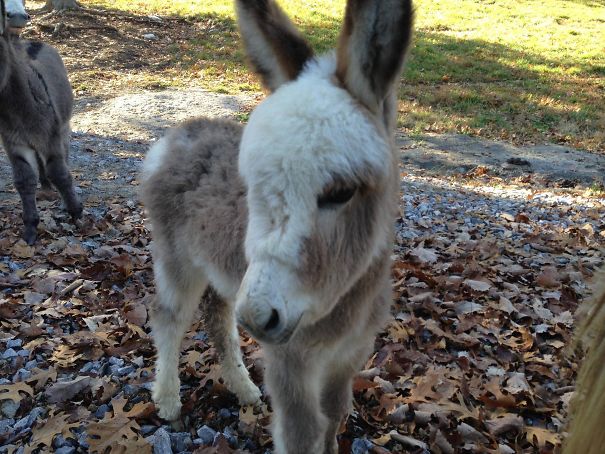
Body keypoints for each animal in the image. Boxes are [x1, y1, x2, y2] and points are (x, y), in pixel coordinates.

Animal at [0, 0, 81, 245]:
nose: (17, 16)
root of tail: (35, 42)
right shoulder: (14, 143)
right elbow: (24, 180)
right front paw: (30, 229)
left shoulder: (51, 136)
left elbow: (59, 173)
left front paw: (77, 213)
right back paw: (44, 186)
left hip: (63, 126)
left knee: (64, 157)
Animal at [142, 0, 412, 450]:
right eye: (250, 184)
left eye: (341, 192)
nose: (258, 317)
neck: (345, 306)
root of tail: (180, 132)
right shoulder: (292, 363)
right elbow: (303, 433)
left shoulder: (350, 355)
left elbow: (334, 414)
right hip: (177, 259)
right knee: (169, 319)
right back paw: (167, 402)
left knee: (218, 319)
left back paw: (245, 389)